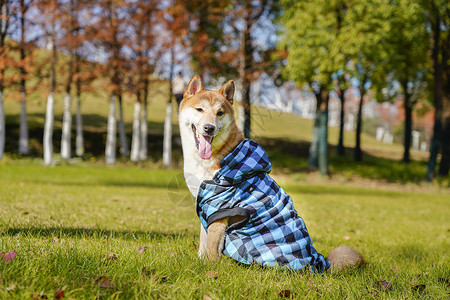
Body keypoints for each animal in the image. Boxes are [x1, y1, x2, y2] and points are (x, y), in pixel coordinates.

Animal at [178, 75, 364, 272]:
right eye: (199, 109)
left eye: (219, 113)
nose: (209, 128)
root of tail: (319, 263)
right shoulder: (205, 204)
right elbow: (203, 241)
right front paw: (200, 260)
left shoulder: (220, 207)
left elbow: (212, 247)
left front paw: (209, 267)